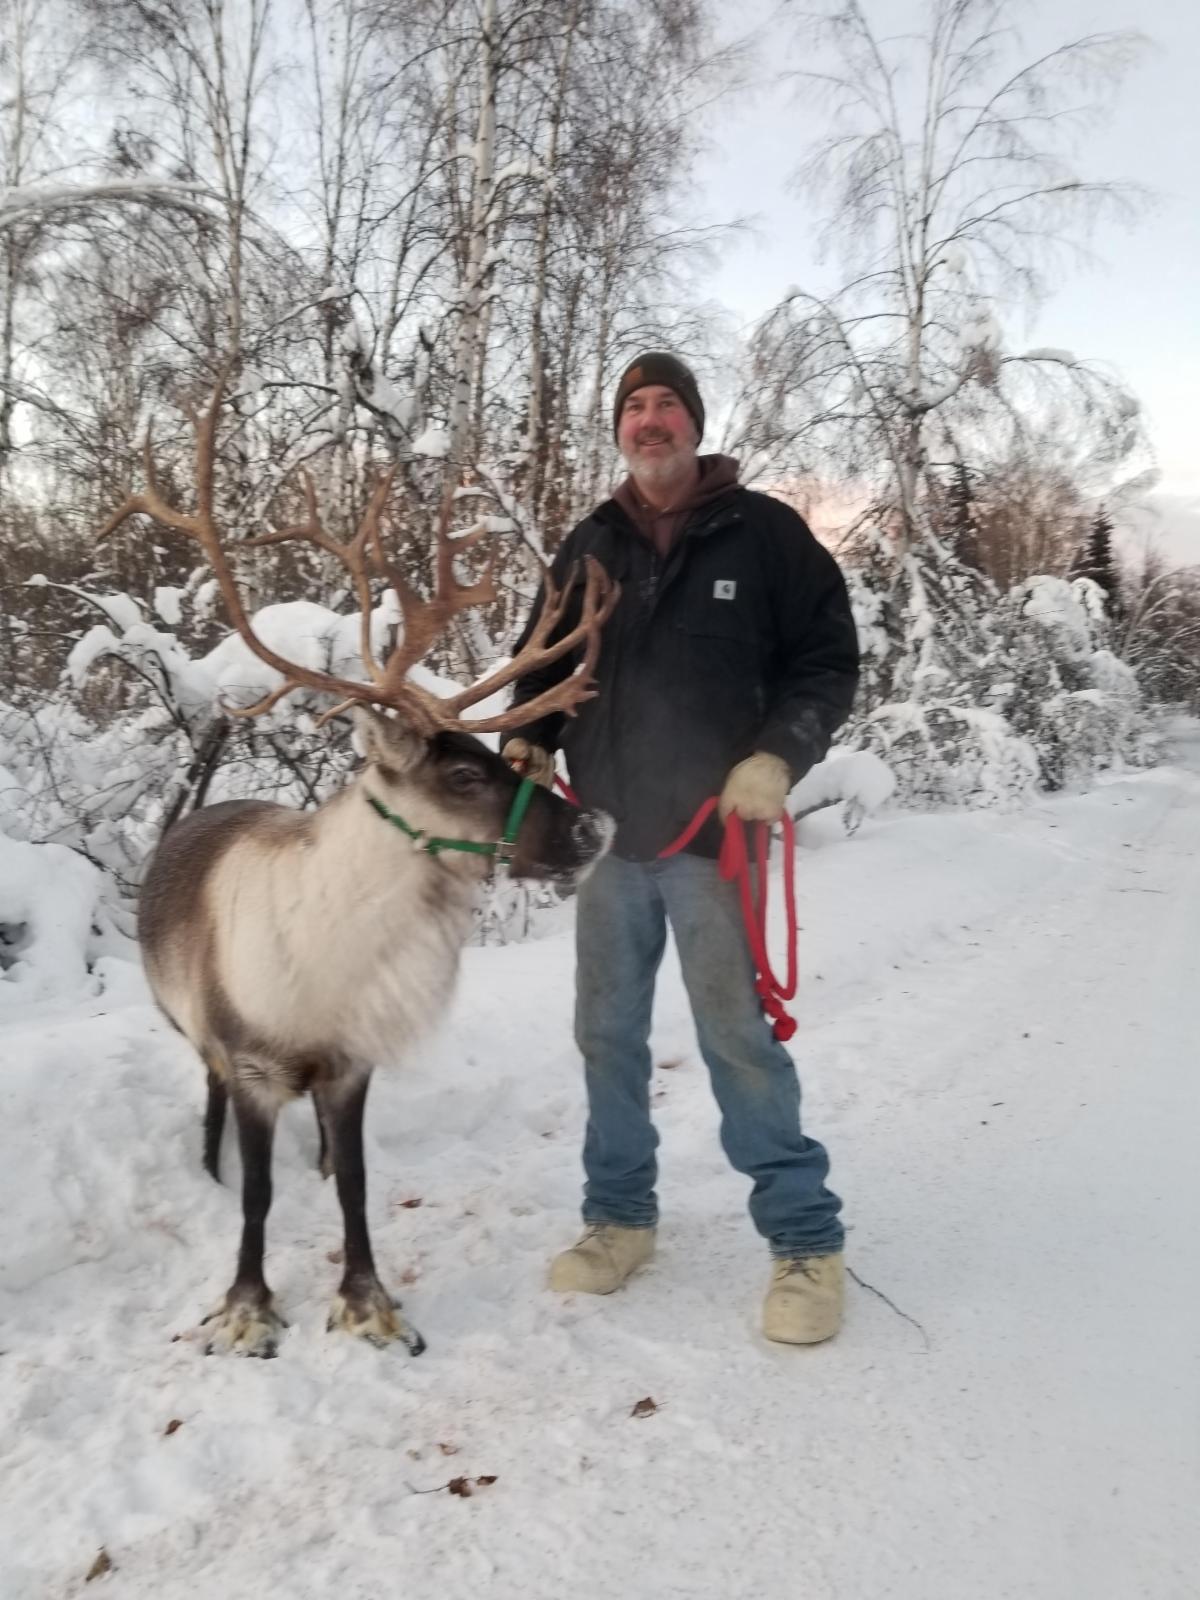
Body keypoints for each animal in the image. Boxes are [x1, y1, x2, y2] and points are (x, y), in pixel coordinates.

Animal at [100, 381, 617, 1360]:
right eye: (463, 776)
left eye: (497, 759)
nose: (596, 826)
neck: (331, 963)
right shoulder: (254, 1065)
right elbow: (260, 1196)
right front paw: (247, 1308)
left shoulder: (349, 1067)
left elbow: (355, 1183)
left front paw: (368, 1301)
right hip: (197, 1038)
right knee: (212, 1113)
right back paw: (209, 1169)